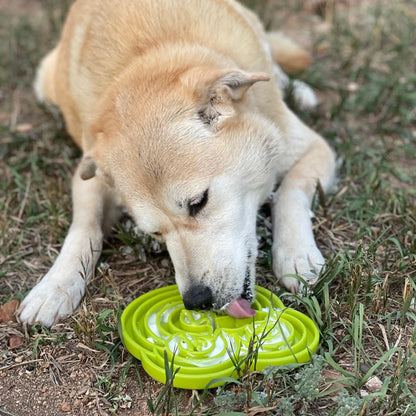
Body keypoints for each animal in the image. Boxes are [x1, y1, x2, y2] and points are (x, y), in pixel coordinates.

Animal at [20, 0, 338, 326]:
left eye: (198, 202)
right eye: (155, 233)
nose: (197, 300)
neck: (147, 58)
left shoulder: (314, 147)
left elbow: (290, 192)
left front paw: (296, 253)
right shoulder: (89, 175)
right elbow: (84, 227)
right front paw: (56, 284)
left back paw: (297, 89)